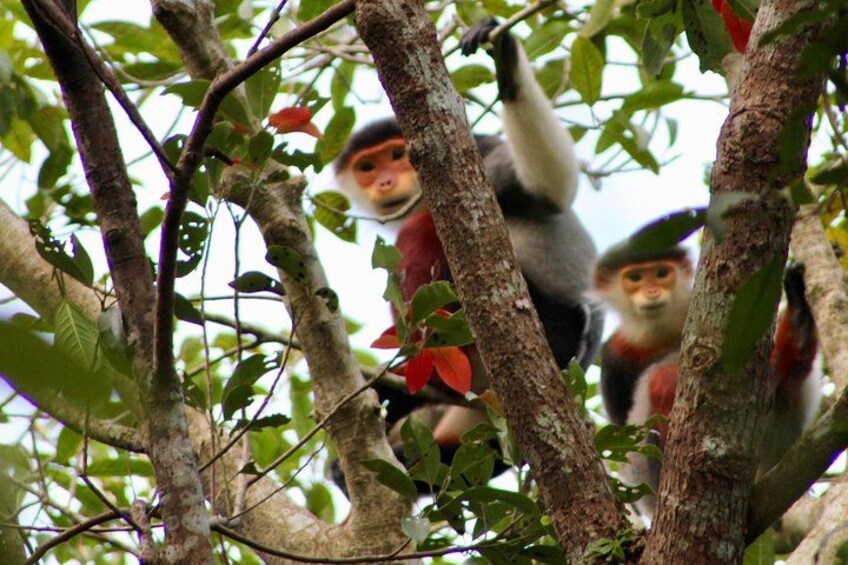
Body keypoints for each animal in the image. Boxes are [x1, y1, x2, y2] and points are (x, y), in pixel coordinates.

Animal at [333, 19, 604, 484]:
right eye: (367, 167)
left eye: (396, 156)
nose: (385, 182)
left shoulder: (479, 153)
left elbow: (548, 192)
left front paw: (507, 60)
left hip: (556, 330)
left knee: (421, 231)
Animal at [594, 241, 821, 518]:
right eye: (635, 278)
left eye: (661, 273)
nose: (652, 291)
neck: (661, 333)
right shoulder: (613, 356)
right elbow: (623, 436)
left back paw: (798, 325)